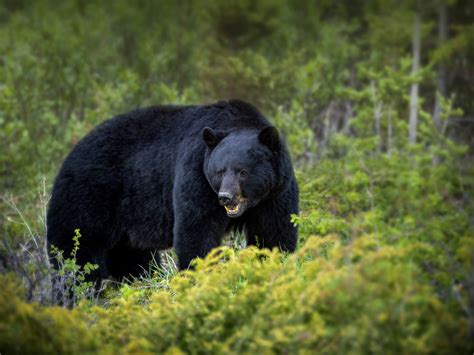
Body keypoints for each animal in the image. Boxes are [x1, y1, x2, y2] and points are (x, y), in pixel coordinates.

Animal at [46, 100, 298, 280]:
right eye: (219, 171)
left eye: (242, 172)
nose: (225, 197)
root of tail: (66, 160)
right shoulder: (196, 174)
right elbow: (197, 230)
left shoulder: (275, 192)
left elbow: (274, 231)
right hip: (88, 198)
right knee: (77, 255)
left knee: (131, 260)